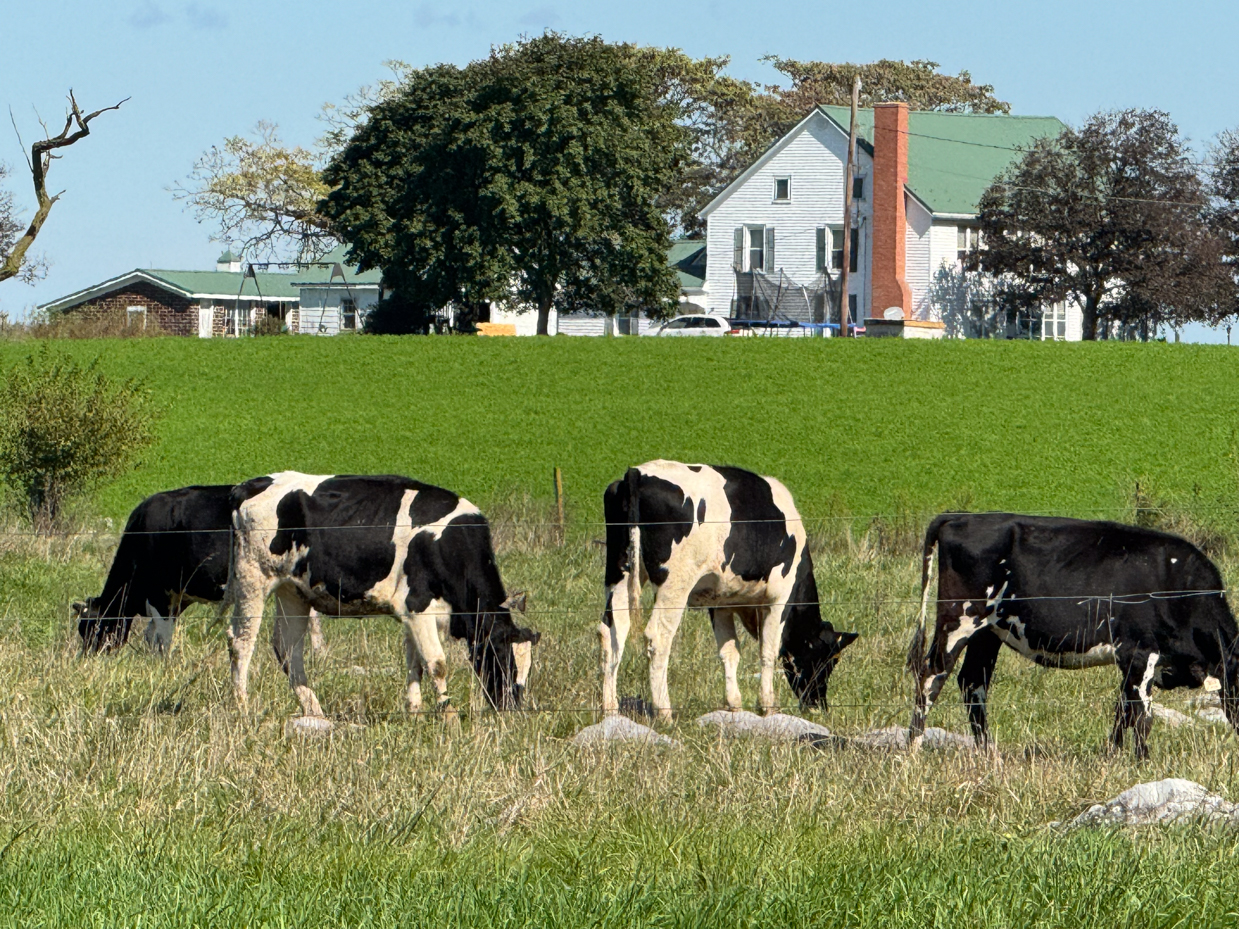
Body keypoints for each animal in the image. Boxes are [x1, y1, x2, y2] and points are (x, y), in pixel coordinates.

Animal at [230, 473, 540, 718]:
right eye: (502, 657)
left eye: (526, 672)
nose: (512, 708)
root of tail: (249, 485)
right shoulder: (419, 605)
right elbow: (437, 665)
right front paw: (449, 716)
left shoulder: (412, 613)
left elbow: (416, 665)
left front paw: (414, 713)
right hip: (252, 580)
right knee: (241, 644)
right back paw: (242, 707)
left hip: (293, 591)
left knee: (288, 649)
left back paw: (314, 711)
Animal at [597, 463, 852, 718]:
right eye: (828, 660)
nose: (819, 705)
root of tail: (638, 472)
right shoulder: (778, 599)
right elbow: (768, 651)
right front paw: (767, 705)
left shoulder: (720, 601)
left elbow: (729, 651)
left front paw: (734, 704)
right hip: (674, 584)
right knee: (658, 638)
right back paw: (664, 712)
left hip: (620, 573)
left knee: (612, 631)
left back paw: (610, 709)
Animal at [906, 512, 1239, 758]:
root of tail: (958, 516)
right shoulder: (1140, 650)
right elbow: (1142, 714)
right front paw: (1142, 761)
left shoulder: (1135, 660)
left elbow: (1123, 709)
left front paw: (1112, 755)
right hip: (958, 619)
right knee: (931, 675)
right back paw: (913, 748)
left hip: (987, 632)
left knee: (973, 682)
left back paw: (988, 752)